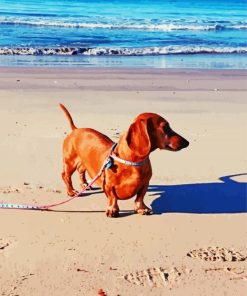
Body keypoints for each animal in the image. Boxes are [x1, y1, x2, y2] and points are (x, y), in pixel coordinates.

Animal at [59, 104, 189, 217]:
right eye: (165, 127)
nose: (187, 142)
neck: (132, 162)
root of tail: (75, 129)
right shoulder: (108, 185)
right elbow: (112, 198)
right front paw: (112, 209)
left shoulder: (145, 183)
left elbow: (140, 197)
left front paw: (141, 208)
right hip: (70, 162)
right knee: (66, 176)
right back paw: (71, 191)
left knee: (81, 171)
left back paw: (85, 184)